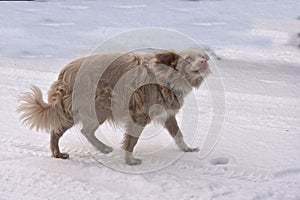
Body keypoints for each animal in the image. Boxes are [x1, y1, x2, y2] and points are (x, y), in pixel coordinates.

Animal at [17, 49, 211, 165]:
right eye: (188, 59)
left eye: (202, 56)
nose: (204, 61)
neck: (164, 77)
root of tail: (65, 72)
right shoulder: (139, 116)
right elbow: (131, 141)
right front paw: (130, 160)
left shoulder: (167, 113)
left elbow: (178, 133)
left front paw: (187, 149)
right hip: (93, 107)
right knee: (60, 131)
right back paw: (59, 153)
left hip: (96, 109)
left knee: (85, 131)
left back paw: (101, 148)